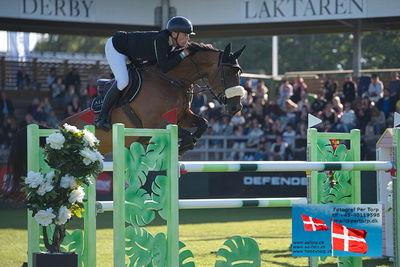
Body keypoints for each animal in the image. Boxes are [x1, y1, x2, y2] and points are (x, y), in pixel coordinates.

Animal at [4, 42, 245, 200]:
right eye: (228, 73)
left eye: (239, 71)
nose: (236, 108)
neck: (172, 79)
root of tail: (52, 132)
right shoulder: (153, 125)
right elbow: (184, 134)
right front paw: (183, 146)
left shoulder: (184, 116)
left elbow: (202, 124)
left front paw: (183, 149)